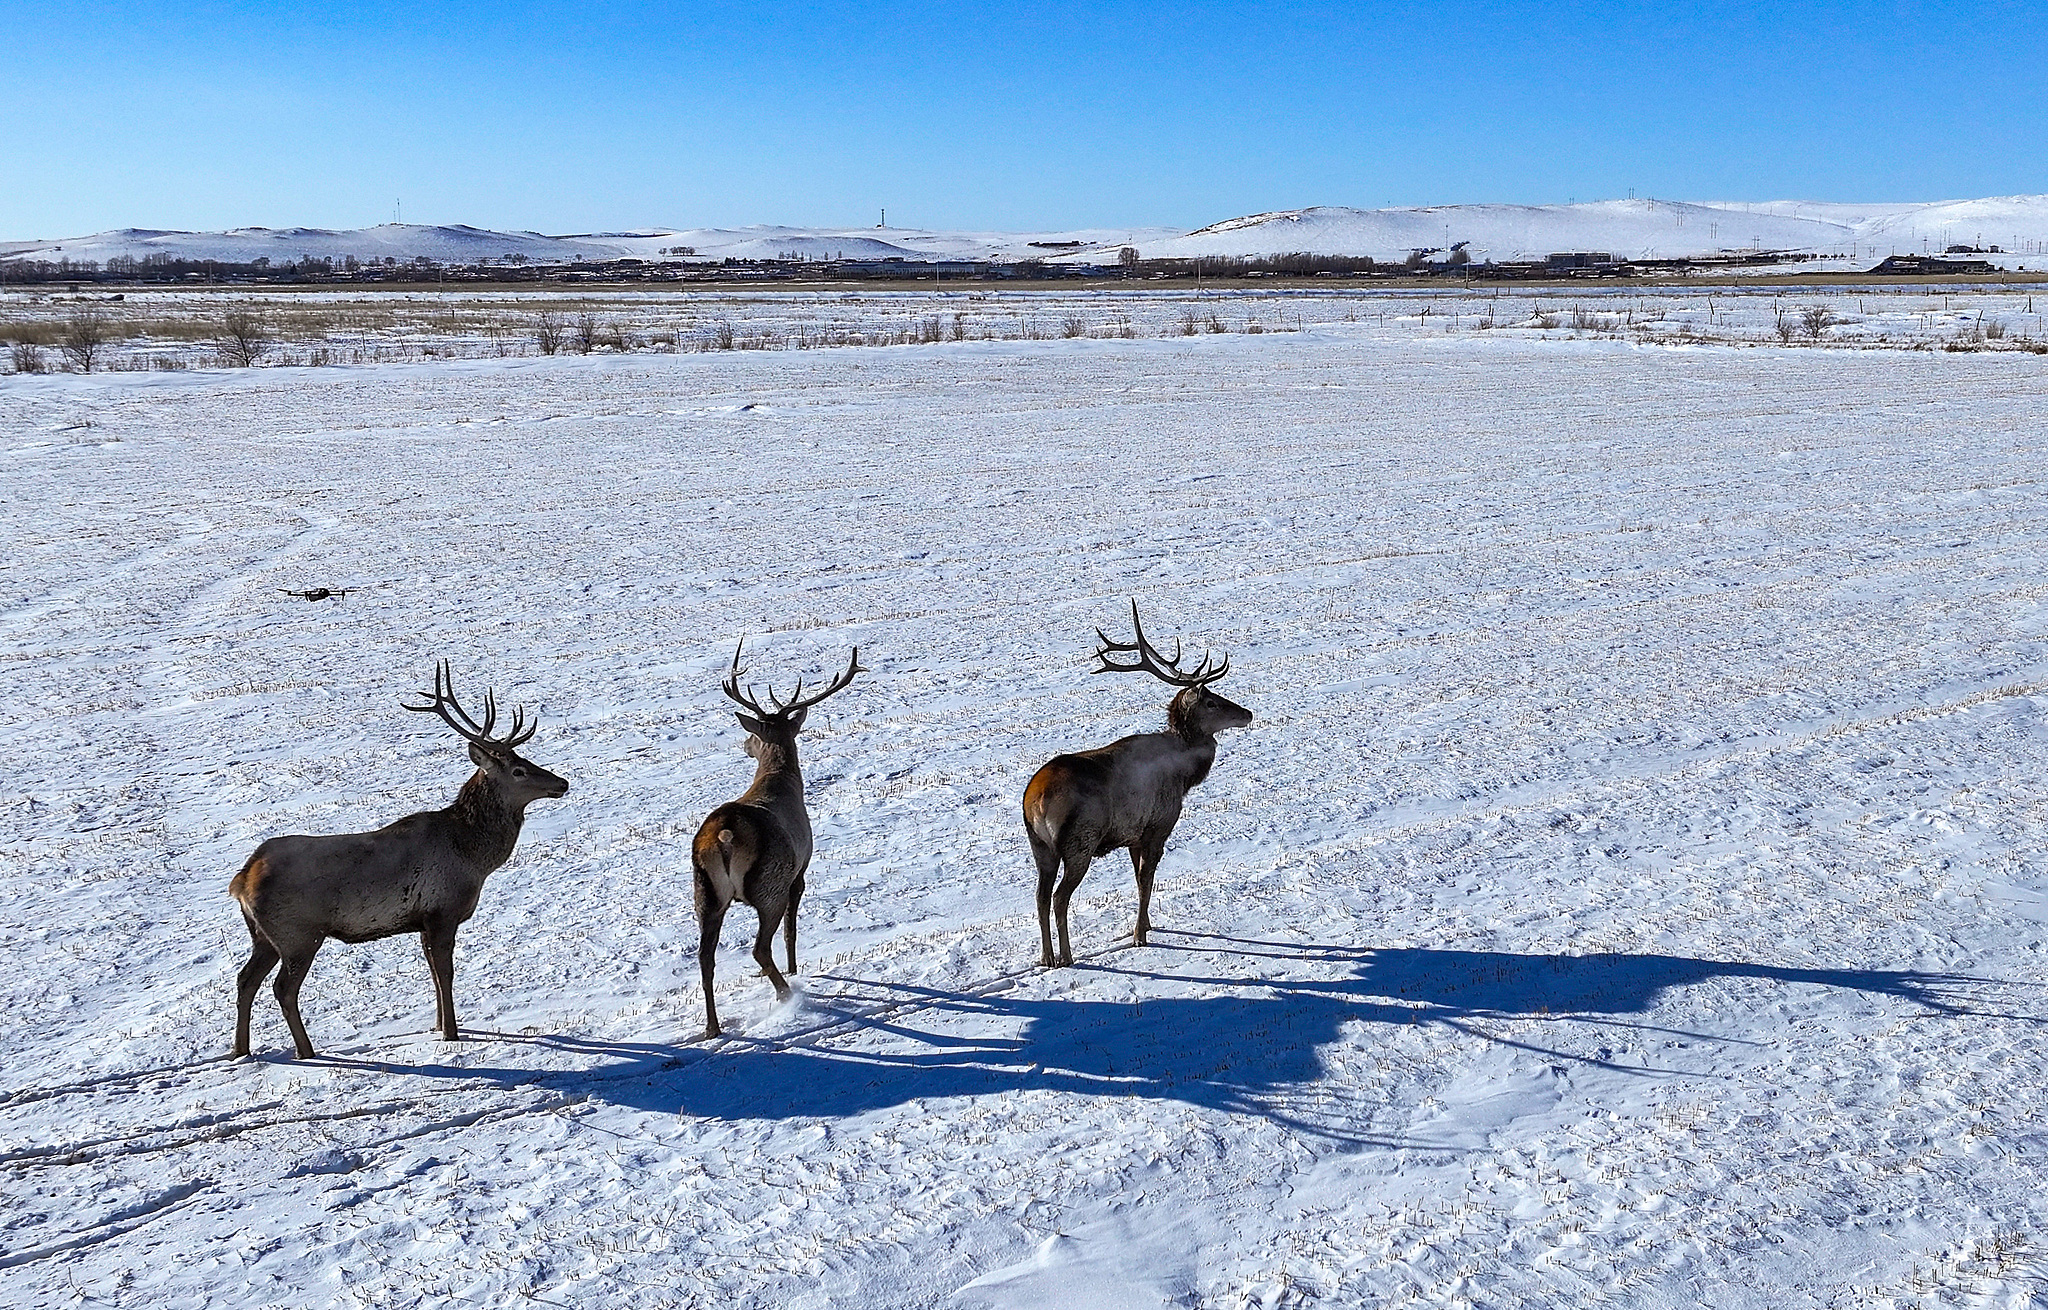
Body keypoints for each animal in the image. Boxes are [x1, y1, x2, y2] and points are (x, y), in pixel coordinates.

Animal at [229, 661, 569, 1059]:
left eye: (526, 760)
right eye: (518, 771)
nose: (561, 782)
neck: (473, 855)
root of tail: (242, 880)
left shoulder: (421, 921)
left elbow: (433, 974)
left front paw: (438, 1026)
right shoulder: (443, 912)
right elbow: (446, 973)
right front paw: (452, 1034)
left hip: (263, 936)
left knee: (245, 979)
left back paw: (240, 1051)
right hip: (298, 933)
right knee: (282, 988)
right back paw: (306, 1052)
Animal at [692, 639, 863, 1038]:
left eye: (757, 734)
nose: (744, 743)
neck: (781, 782)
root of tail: (724, 836)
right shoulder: (800, 868)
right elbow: (792, 930)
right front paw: (795, 968)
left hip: (704, 893)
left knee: (705, 956)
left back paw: (713, 1027)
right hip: (770, 882)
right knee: (760, 946)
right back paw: (787, 993)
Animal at [1024, 602, 1253, 967]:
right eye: (1211, 701)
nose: (1247, 713)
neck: (1185, 774)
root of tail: (1035, 800)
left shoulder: (1132, 835)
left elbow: (1138, 877)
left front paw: (1146, 924)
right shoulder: (1159, 824)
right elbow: (1146, 878)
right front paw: (1139, 936)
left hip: (1039, 846)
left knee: (1040, 896)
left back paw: (1046, 957)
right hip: (1079, 841)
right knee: (1060, 897)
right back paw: (1066, 956)